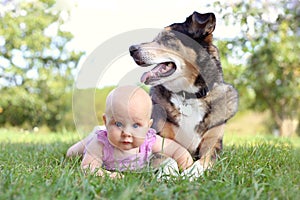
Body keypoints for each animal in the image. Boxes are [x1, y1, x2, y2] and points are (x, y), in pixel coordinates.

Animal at [130, 11, 238, 170]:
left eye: (167, 39)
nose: (131, 49)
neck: (188, 95)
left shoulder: (214, 144)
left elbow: (204, 161)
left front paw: (191, 173)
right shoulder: (158, 137)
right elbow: (164, 157)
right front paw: (170, 172)